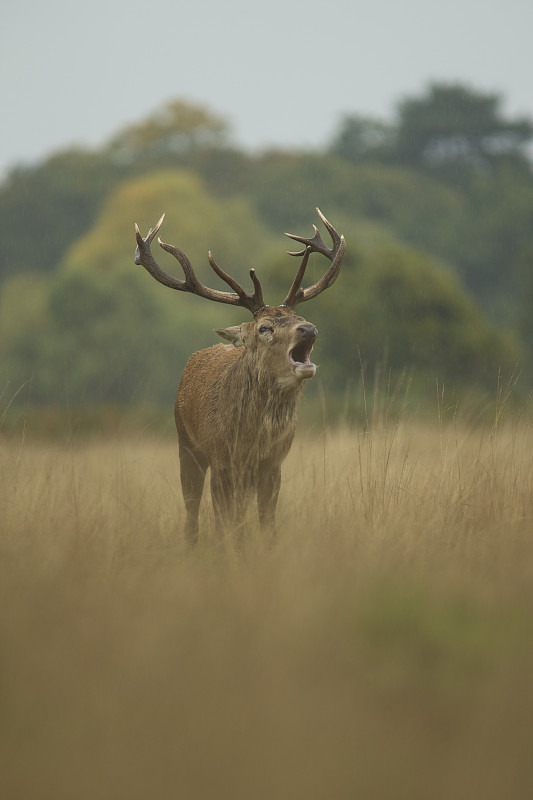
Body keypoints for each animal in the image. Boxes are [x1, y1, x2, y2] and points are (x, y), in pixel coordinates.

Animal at [133, 208, 344, 544]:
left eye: (301, 317)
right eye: (264, 328)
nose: (308, 329)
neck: (251, 441)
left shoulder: (273, 465)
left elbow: (265, 525)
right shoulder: (221, 461)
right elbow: (225, 525)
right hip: (186, 444)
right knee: (192, 513)